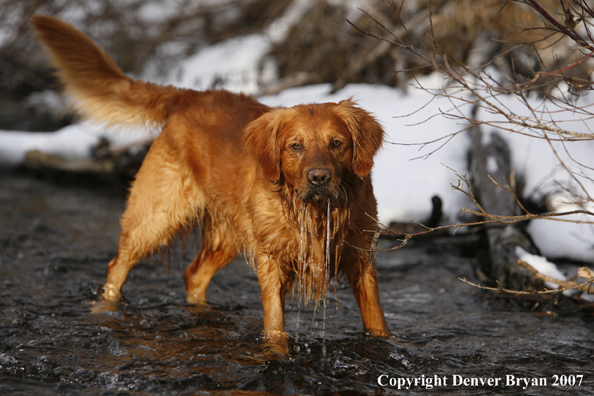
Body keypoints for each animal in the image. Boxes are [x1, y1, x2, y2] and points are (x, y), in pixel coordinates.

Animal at [31, 15, 388, 338]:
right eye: (295, 146)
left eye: (337, 143)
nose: (319, 178)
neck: (314, 212)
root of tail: (190, 94)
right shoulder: (271, 261)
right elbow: (275, 326)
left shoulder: (361, 260)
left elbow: (376, 321)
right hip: (156, 217)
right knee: (117, 266)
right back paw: (104, 310)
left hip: (228, 231)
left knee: (194, 274)